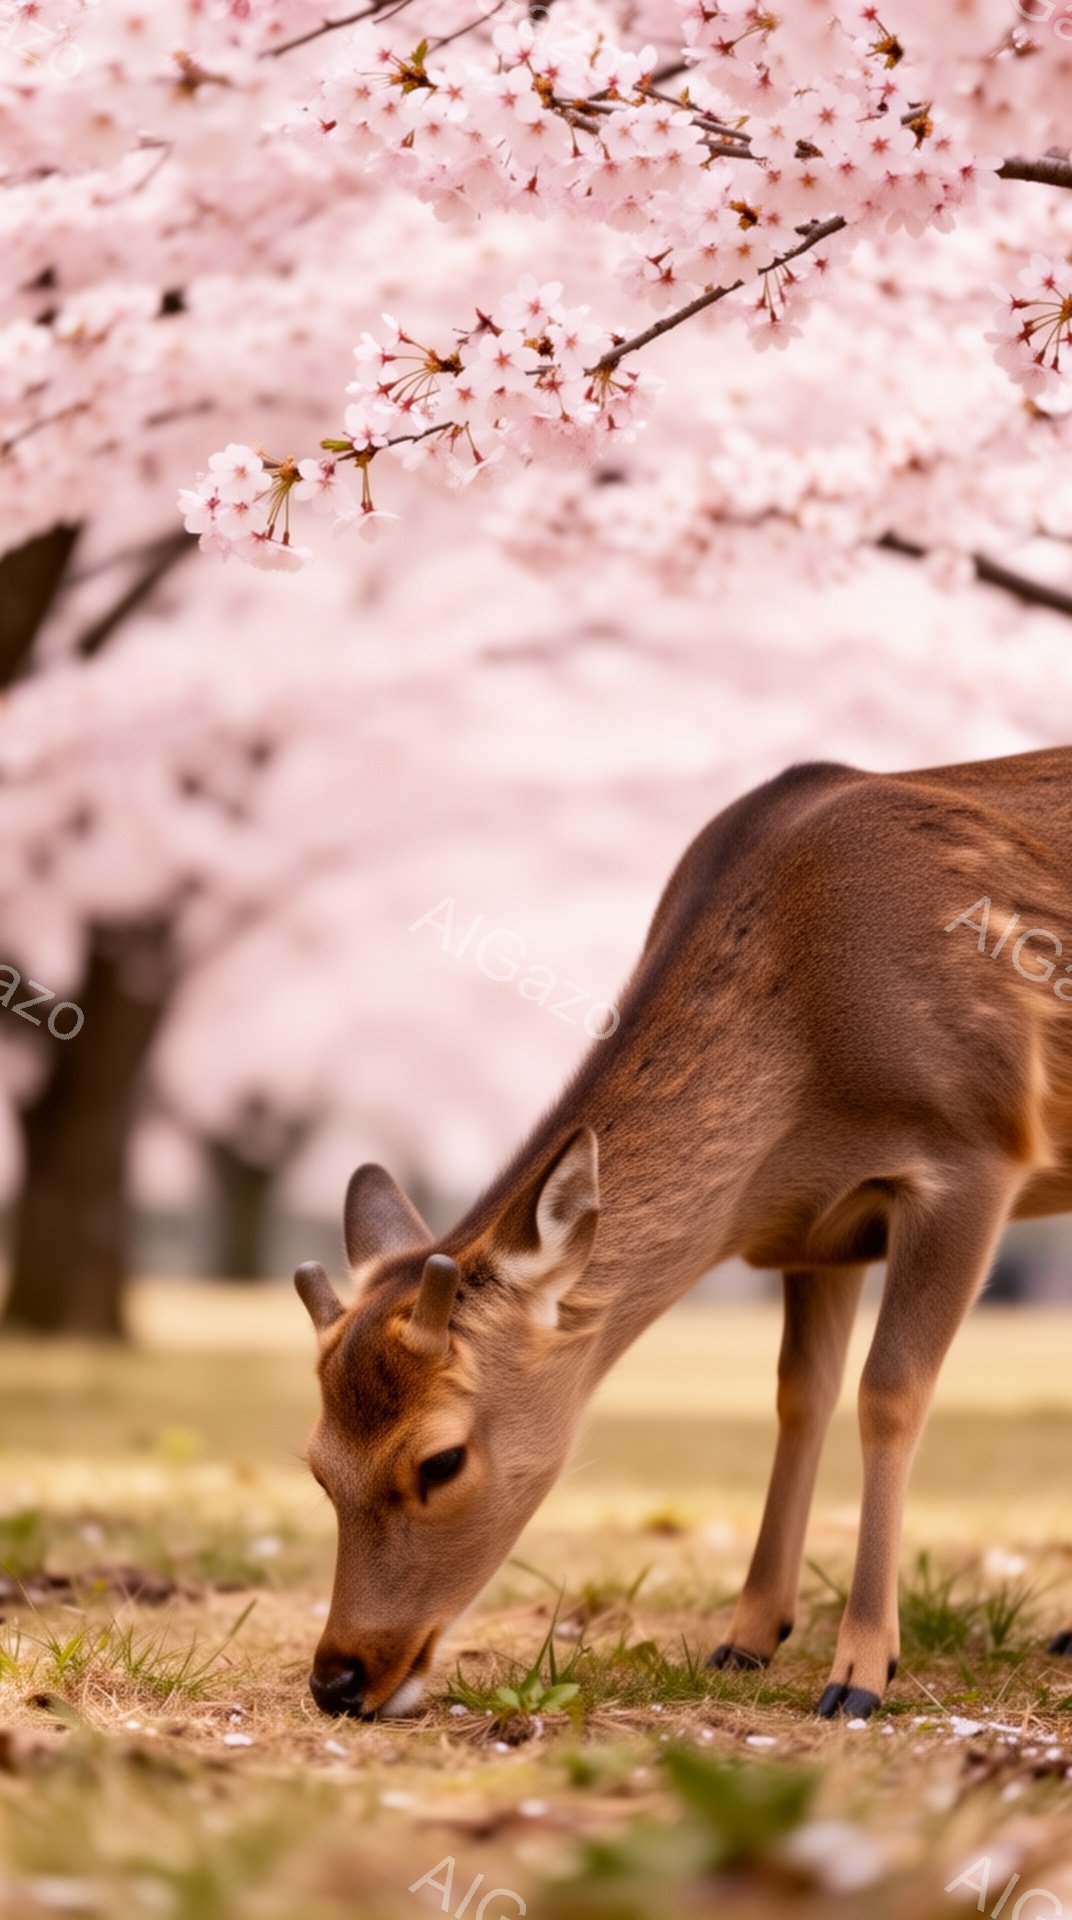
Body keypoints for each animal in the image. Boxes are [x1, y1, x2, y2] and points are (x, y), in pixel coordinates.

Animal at [295, 745, 1072, 1723]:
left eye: (440, 1460)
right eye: (316, 1466)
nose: (337, 1678)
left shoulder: (975, 1148)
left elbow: (889, 1393)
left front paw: (859, 1673)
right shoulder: (821, 1229)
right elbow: (800, 1395)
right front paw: (748, 1637)